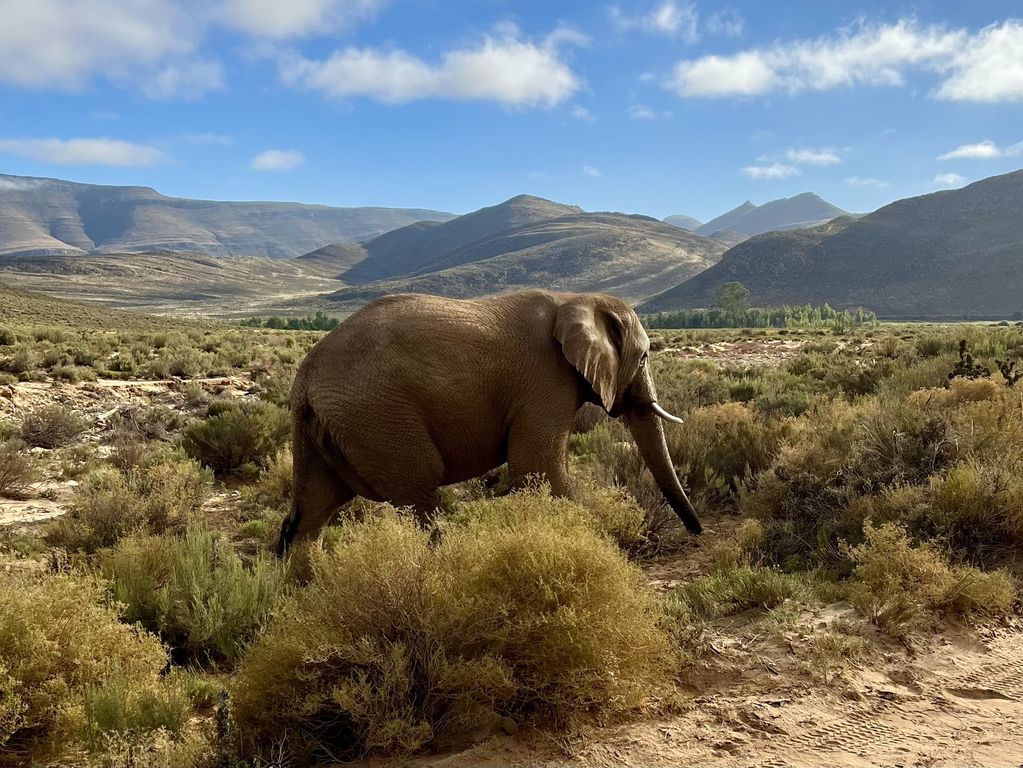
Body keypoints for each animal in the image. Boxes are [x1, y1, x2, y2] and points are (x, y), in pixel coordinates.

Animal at [276, 290, 699, 556]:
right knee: (418, 497)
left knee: (312, 514)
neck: (576, 298)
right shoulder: (545, 381)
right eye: (644, 358)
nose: (697, 534)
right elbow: (540, 470)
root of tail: (305, 379)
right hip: (378, 416)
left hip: (329, 426)